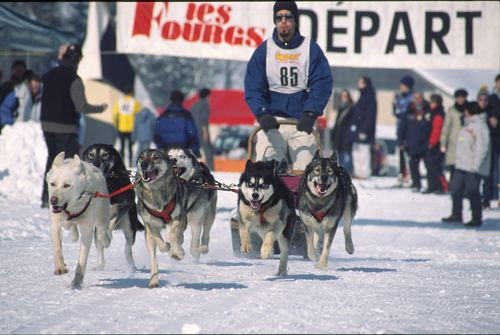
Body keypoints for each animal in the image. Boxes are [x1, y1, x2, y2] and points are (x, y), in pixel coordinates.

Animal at [46, 152, 111, 288]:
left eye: (66, 185)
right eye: (52, 184)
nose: (53, 200)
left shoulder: (86, 231)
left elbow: (82, 259)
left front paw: (76, 282)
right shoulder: (55, 225)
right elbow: (57, 248)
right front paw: (60, 267)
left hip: (102, 219)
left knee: (102, 235)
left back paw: (106, 240)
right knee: (71, 230)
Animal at [82, 144, 145, 272]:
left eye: (105, 154)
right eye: (91, 154)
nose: (95, 164)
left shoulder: (124, 205)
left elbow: (111, 223)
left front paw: (108, 237)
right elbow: (101, 232)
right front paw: (105, 238)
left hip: (130, 227)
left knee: (127, 248)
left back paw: (132, 267)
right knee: (99, 245)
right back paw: (100, 265)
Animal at [135, 150, 189, 288]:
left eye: (156, 157)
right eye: (141, 157)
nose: (143, 164)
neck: (155, 192)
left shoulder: (177, 218)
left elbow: (173, 236)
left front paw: (179, 252)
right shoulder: (150, 224)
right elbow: (160, 242)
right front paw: (167, 247)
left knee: (177, 236)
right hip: (148, 238)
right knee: (153, 259)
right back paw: (153, 281)